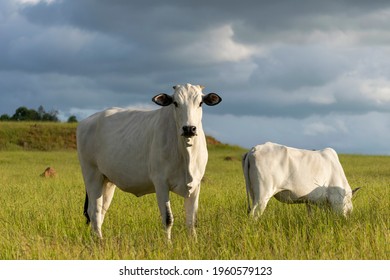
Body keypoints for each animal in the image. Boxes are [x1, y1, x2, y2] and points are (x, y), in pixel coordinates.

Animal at [77, 83, 222, 241]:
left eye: (200, 103)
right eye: (175, 103)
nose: (189, 128)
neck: (186, 153)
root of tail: (87, 121)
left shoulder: (196, 184)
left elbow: (192, 221)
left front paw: (193, 242)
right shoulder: (161, 183)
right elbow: (168, 218)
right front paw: (168, 243)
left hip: (107, 180)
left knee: (101, 210)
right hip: (91, 174)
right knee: (94, 211)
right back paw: (99, 241)